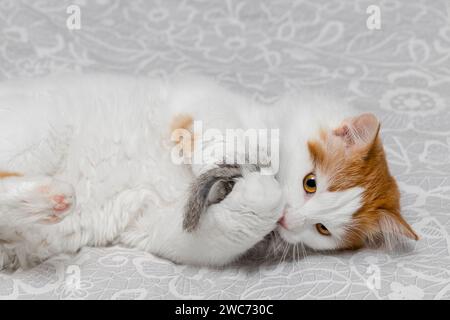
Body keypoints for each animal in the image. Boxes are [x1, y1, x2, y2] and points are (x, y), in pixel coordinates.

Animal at [0, 74, 416, 270]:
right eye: (310, 183)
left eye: (323, 229)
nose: (288, 218)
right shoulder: (199, 97)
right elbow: (220, 133)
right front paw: (237, 163)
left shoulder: (169, 228)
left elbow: (220, 233)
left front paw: (261, 197)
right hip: (42, 130)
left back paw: (49, 201)